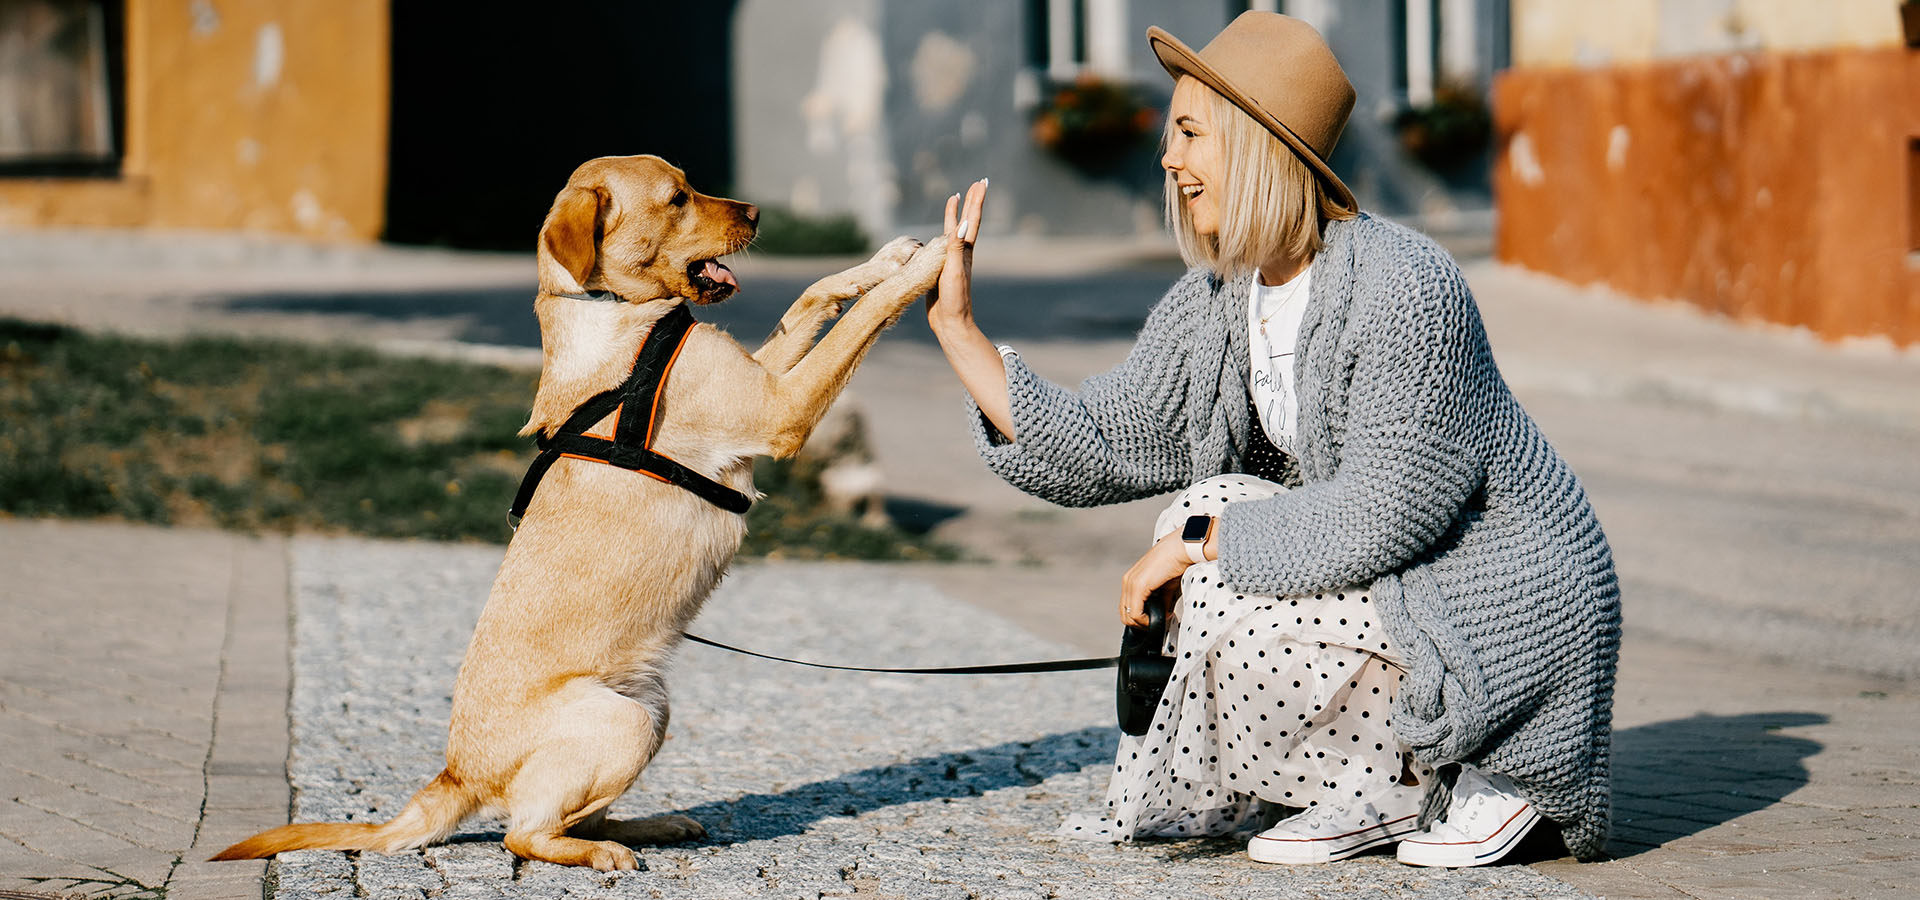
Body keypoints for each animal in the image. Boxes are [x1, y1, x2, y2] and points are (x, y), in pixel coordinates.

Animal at [214, 154, 948, 871]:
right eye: (677, 198)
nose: (758, 212)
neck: (615, 311)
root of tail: (455, 775)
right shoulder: (779, 409)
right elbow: (860, 321)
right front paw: (932, 263)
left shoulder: (764, 377)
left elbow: (815, 295)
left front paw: (888, 257)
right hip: (623, 723)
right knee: (523, 834)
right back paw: (601, 852)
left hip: (651, 708)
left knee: (572, 814)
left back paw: (649, 826)